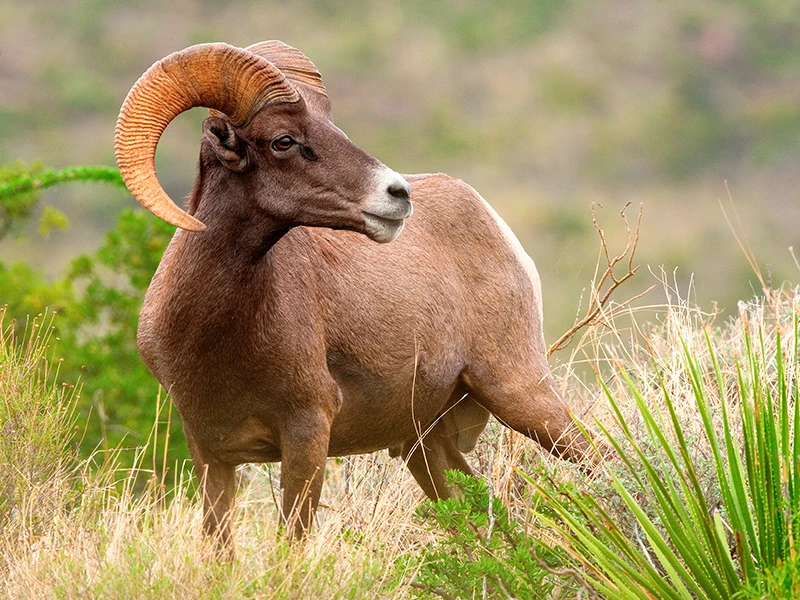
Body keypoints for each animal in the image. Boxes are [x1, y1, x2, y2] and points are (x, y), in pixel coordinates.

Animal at [114, 41, 588, 548]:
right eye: (283, 140)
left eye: (330, 122)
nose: (397, 193)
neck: (214, 337)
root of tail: (490, 217)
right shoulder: (211, 454)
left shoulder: (307, 435)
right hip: (426, 446)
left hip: (521, 393)